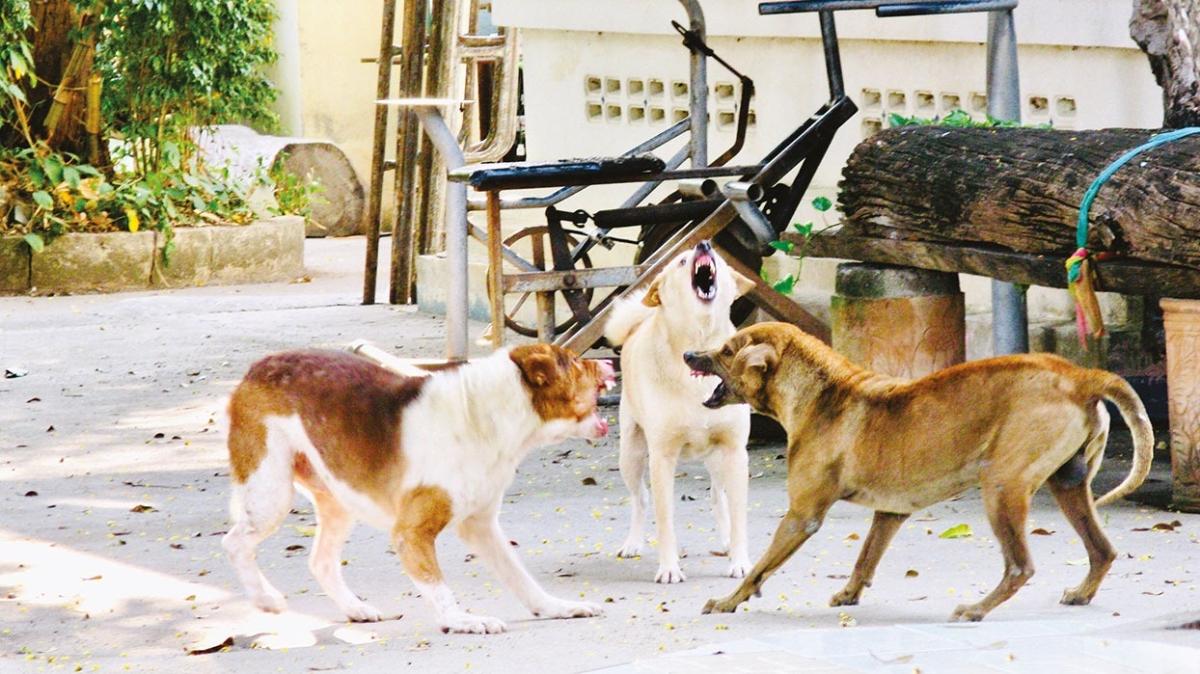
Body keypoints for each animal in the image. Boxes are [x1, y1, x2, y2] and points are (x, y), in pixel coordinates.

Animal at [223, 342, 619, 633]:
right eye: (573, 361)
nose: (609, 363)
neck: (488, 416)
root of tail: (257, 366)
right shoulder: (411, 533)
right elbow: (438, 587)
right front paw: (462, 621)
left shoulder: (481, 527)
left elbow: (520, 577)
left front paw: (556, 607)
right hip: (270, 494)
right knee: (235, 542)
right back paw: (264, 598)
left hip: (337, 500)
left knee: (321, 561)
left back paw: (356, 609)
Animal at [604, 238, 753, 580]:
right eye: (681, 261)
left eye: (719, 259)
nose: (705, 244)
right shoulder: (662, 458)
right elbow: (665, 521)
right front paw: (669, 568)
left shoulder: (735, 451)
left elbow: (739, 515)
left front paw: (740, 561)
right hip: (631, 456)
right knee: (640, 499)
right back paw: (632, 543)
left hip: (719, 460)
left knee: (717, 496)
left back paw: (725, 541)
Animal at [686, 319, 1152, 618]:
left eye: (726, 350)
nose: (689, 352)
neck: (820, 393)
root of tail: (1080, 375)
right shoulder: (890, 512)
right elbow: (865, 558)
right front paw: (849, 594)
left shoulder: (802, 516)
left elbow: (759, 568)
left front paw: (727, 602)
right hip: (1068, 485)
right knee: (1102, 550)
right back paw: (1081, 593)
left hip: (1001, 487)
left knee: (1021, 567)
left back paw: (975, 609)